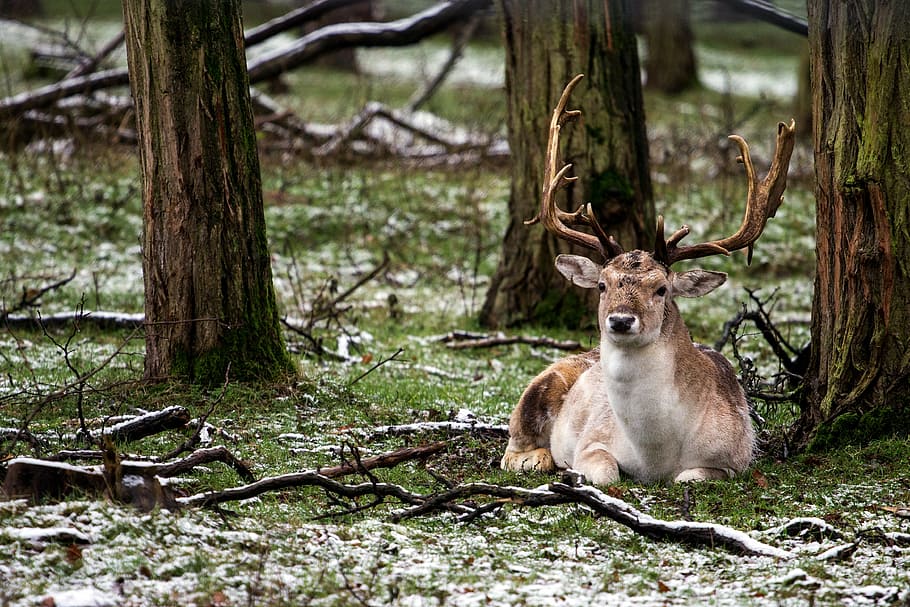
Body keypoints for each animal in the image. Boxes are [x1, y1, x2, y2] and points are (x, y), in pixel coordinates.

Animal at [500, 74, 796, 485]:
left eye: (661, 289)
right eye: (602, 285)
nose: (621, 320)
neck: (655, 453)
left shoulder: (736, 457)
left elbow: (690, 476)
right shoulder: (591, 441)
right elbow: (605, 472)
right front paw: (572, 470)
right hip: (541, 384)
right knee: (510, 447)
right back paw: (539, 458)